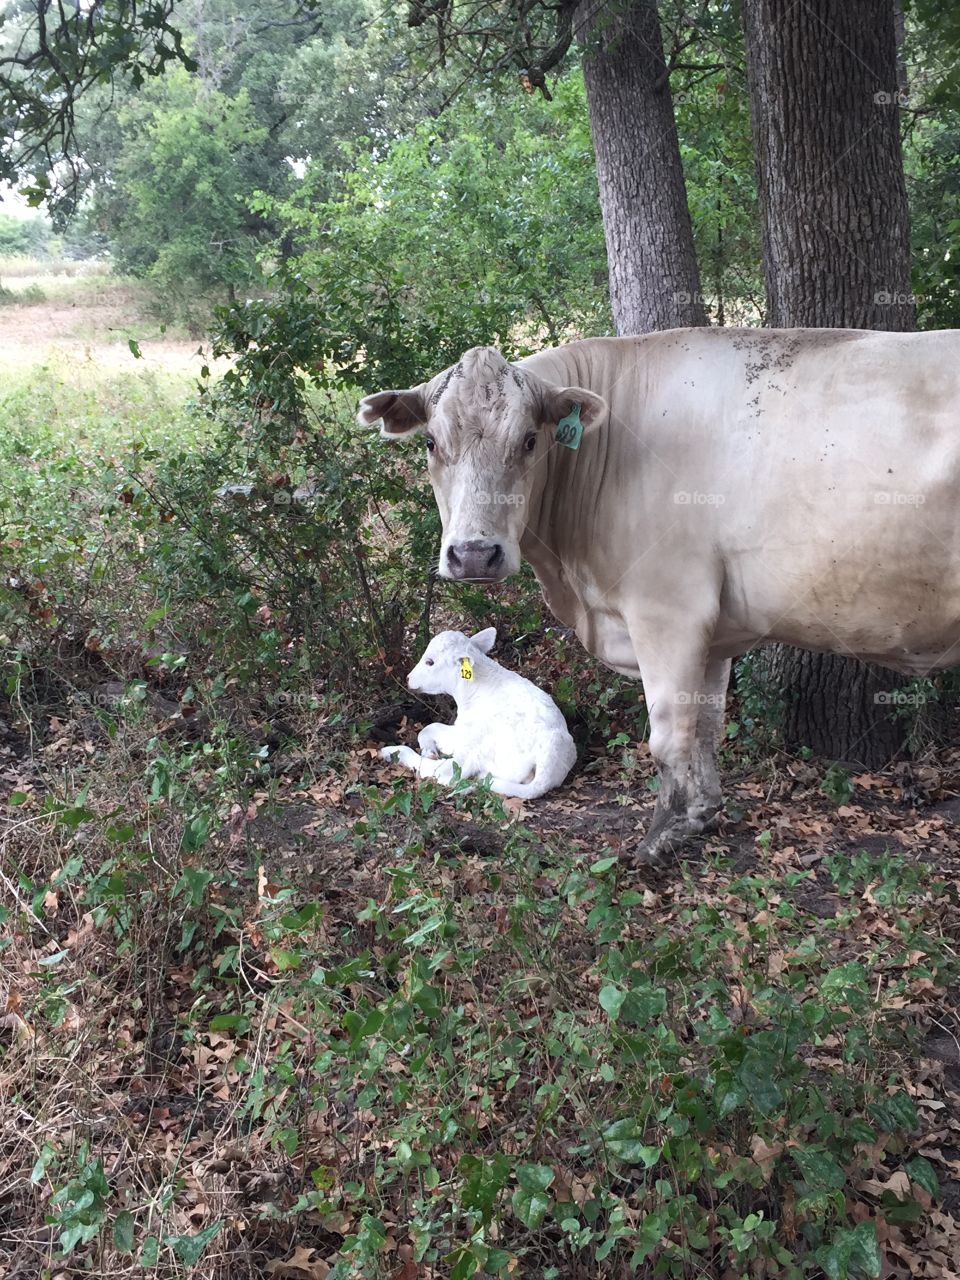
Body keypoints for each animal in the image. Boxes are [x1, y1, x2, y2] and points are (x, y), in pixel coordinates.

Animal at [381, 629, 578, 798]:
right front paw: (429, 750)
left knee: (444, 773)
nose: (408, 678)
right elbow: (429, 727)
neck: (471, 692)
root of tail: (549, 758)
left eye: (430, 662)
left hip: (479, 748)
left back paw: (390, 752)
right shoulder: (461, 729)